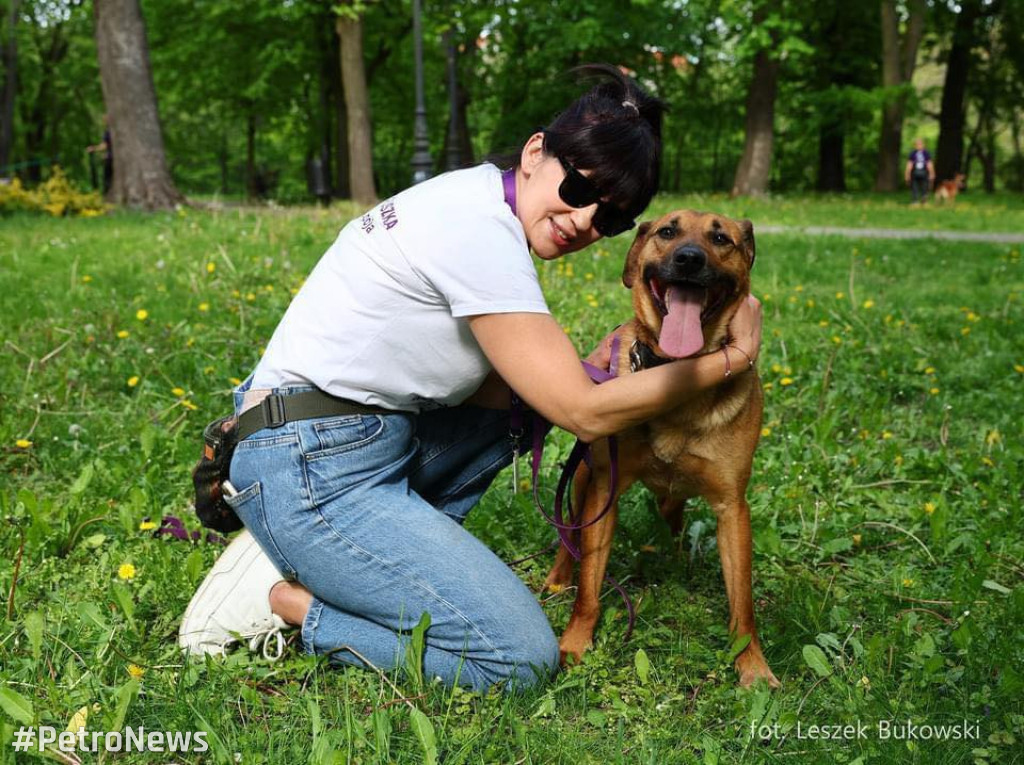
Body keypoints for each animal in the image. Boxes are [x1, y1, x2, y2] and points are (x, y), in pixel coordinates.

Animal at [544, 207, 774, 688]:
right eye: (668, 231)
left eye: (720, 239)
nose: (688, 258)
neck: (677, 372)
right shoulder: (603, 491)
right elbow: (590, 585)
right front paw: (576, 643)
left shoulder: (732, 507)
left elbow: (743, 604)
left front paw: (752, 665)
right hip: (583, 477)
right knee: (568, 534)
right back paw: (558, 576)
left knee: (673, 515)